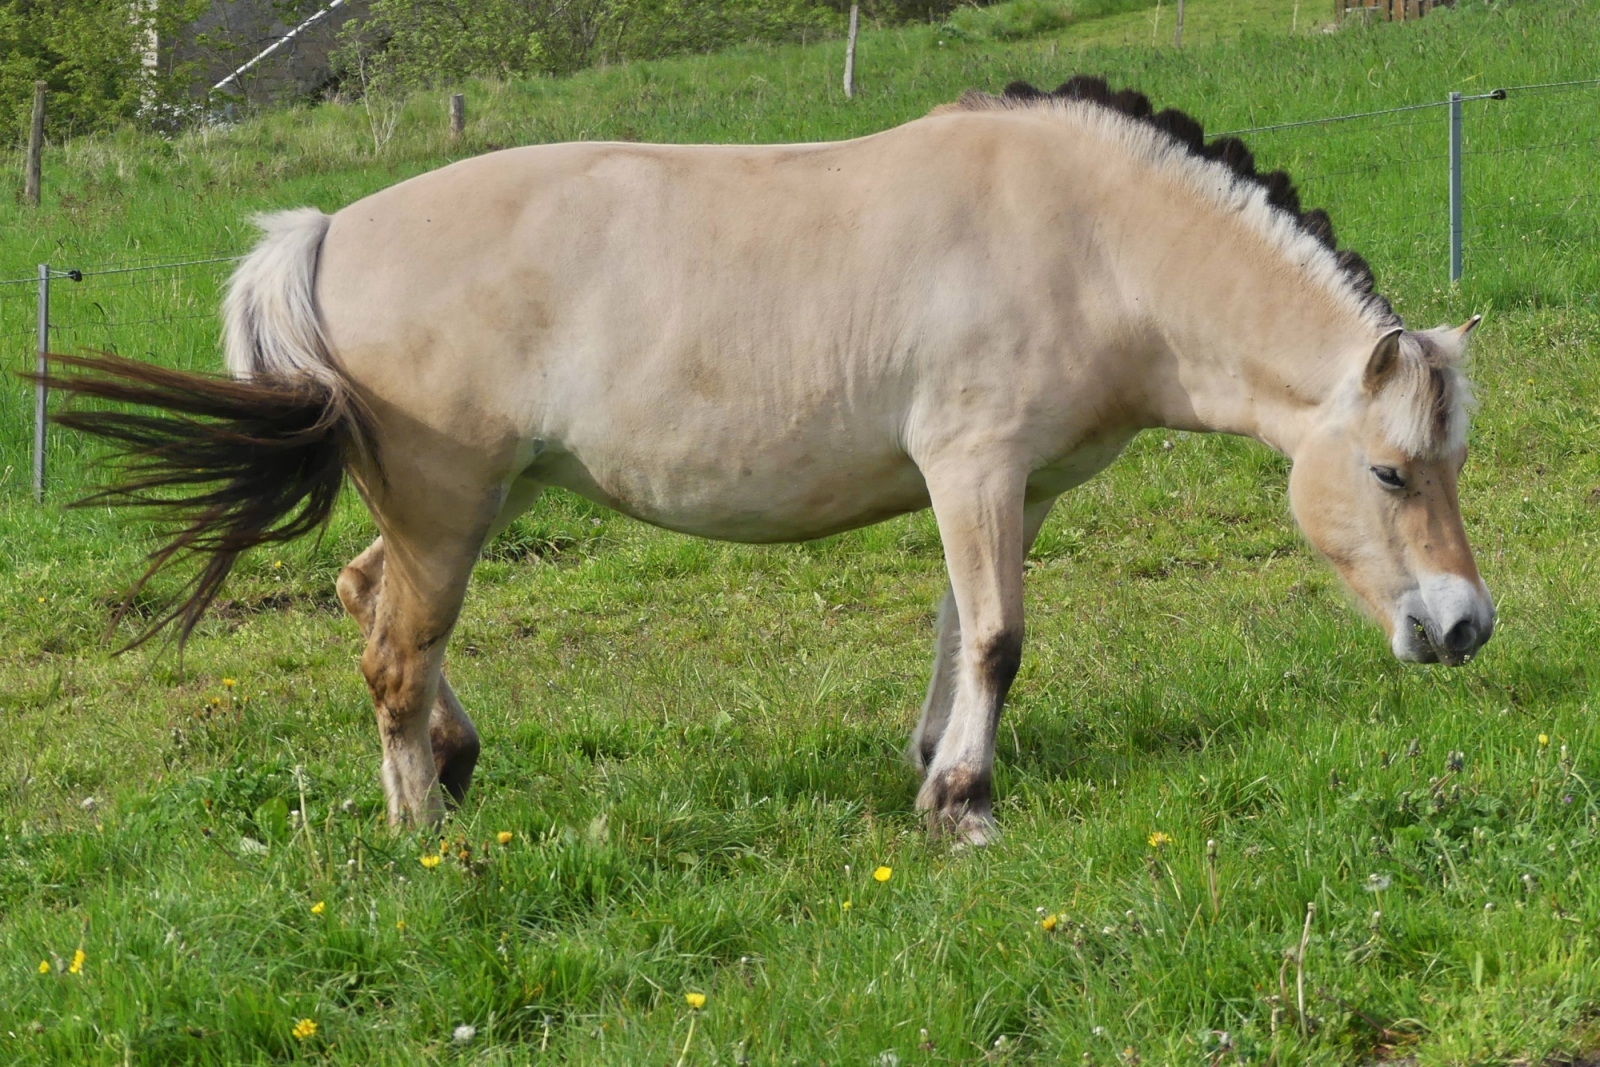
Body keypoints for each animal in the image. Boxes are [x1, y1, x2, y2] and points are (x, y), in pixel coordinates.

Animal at [53, 77, 1497, 844]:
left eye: (1451, 464)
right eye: (1389, 472)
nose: (1463, 624)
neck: (1086, 236)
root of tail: (324, 230)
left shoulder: (1003, 490)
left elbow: (958, 630)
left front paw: (934, 767)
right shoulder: (974, 469)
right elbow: (997, 638)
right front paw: (964, 803)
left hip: (466, 502)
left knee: (369, 598)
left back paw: (454, 765)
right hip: (449, 504)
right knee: (396, 650)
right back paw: (426, 835)